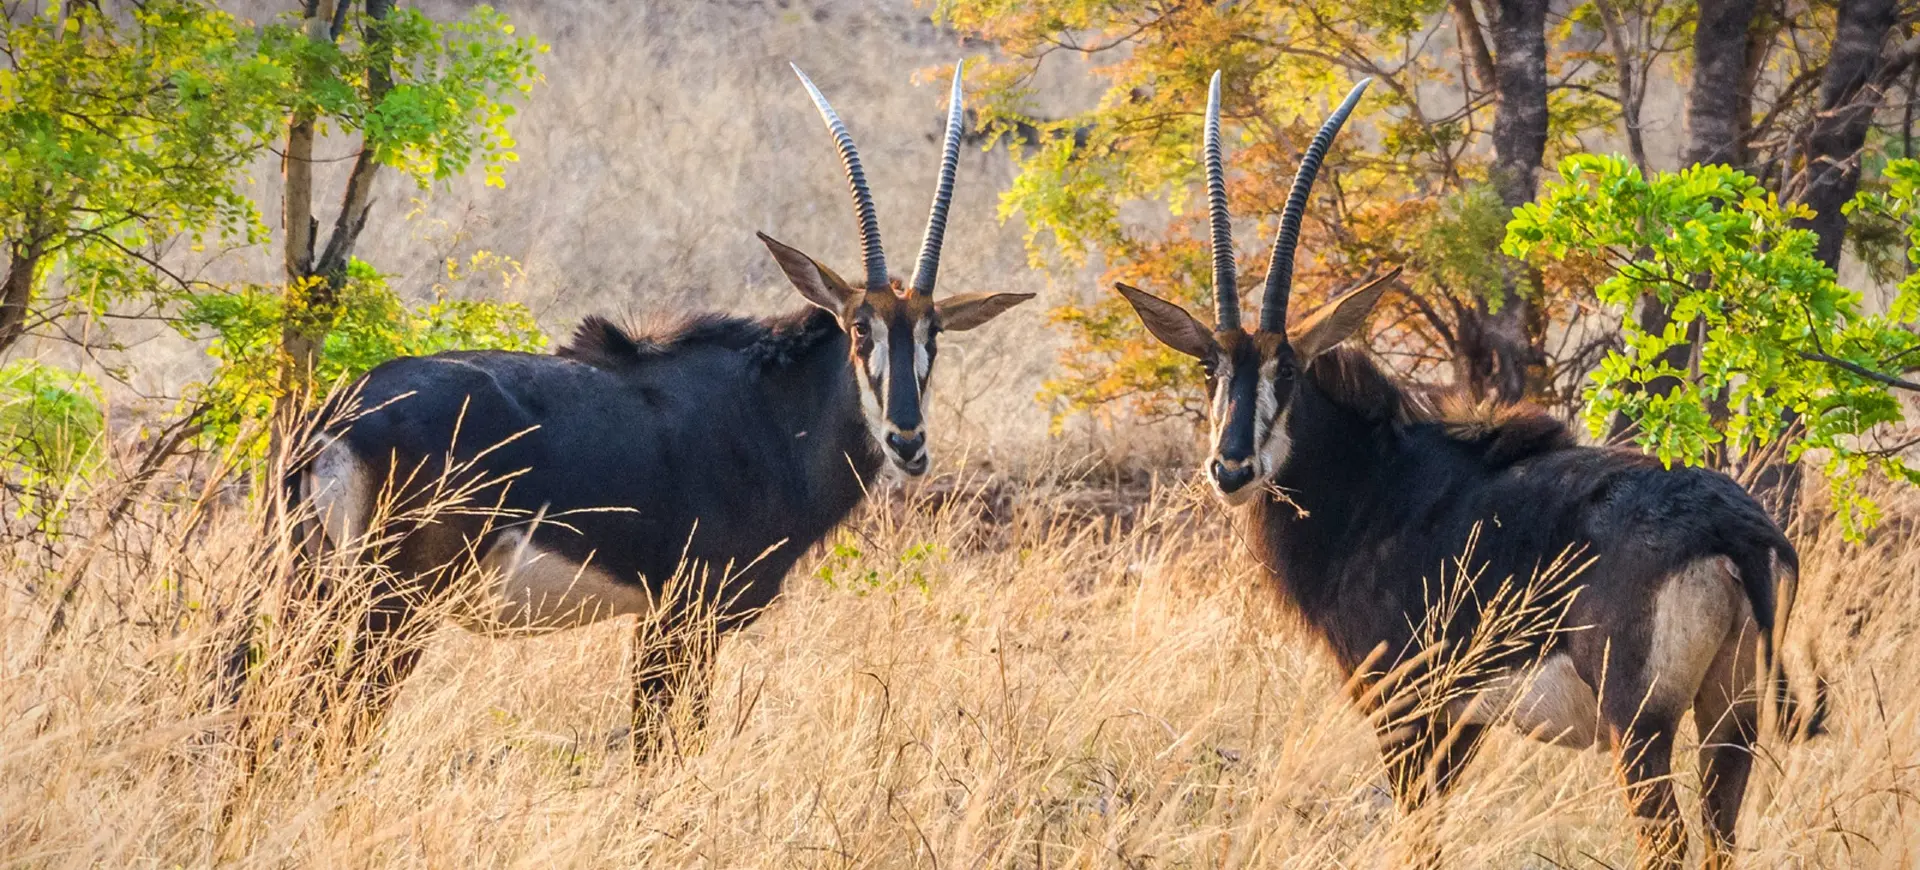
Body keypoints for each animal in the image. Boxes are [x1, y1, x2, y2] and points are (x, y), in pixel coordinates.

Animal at [270, 60, 1036, 752]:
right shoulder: (684, 616)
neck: (767, 414)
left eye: (933, 335)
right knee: (337, 719)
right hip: (393, 603)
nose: (907, 441)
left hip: (319, 589)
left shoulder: (666, 621)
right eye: (858, 330)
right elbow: (664, 748)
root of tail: (336, 419)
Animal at [1121, 74, 1820, 868]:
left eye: (1289, 370)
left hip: (1639, 728)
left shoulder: (1408, 705)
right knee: (1722, 837)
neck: (1378, 483)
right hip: (1730, 721)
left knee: (1667, 841)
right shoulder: (1464, 721)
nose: (1231, 467)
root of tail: (1737, 533)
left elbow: (1418, 835)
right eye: (1211, 367)